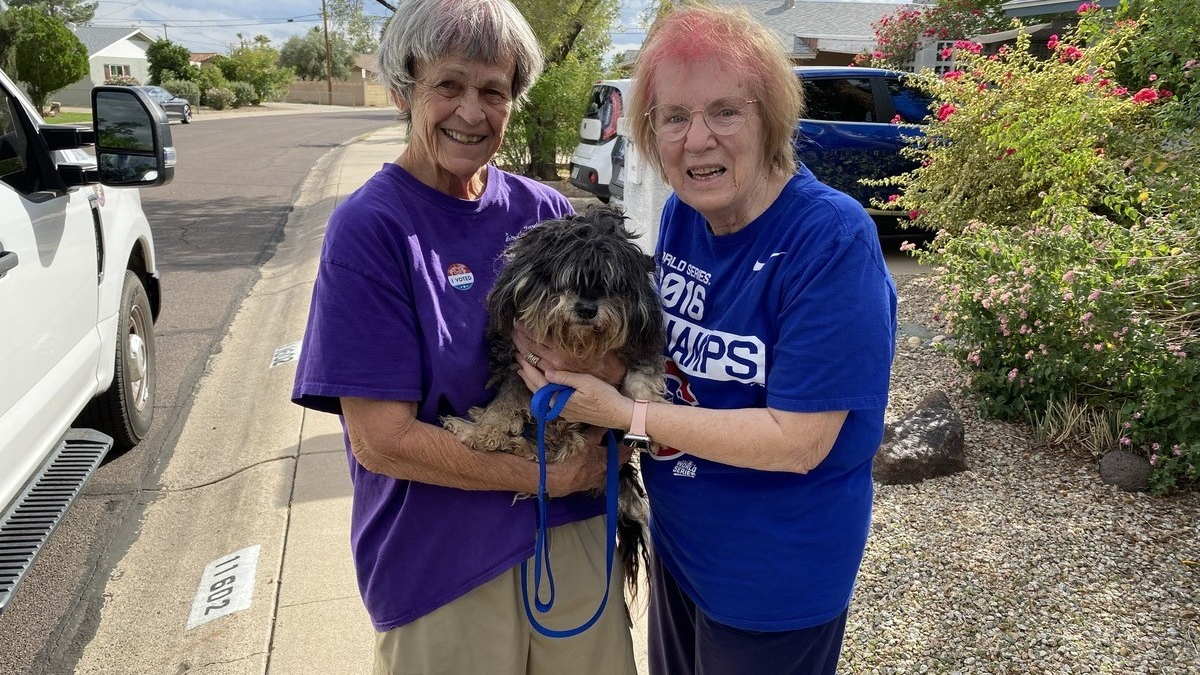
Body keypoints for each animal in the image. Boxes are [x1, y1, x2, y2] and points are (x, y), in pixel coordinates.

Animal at [441, 206, 667, 593]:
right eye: (566, 279)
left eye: (612, 284)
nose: (587, 308)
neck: (576, 343)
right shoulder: (518, 360)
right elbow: (508, 397)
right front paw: (490, 426)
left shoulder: (641, 343)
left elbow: (642, 372)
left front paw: (644, 400)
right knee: (533, 452)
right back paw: (469, 428)